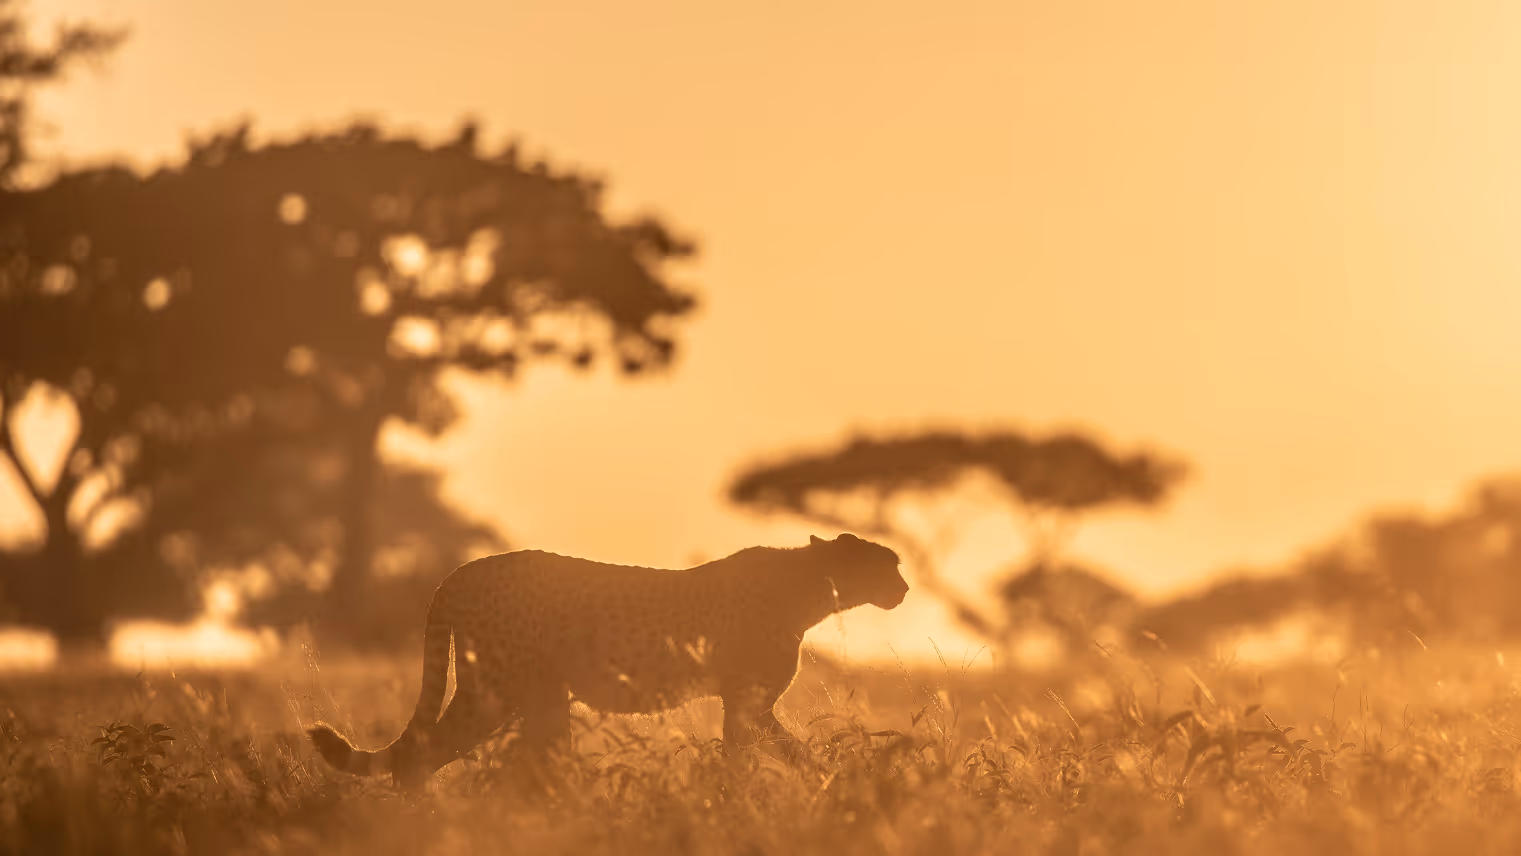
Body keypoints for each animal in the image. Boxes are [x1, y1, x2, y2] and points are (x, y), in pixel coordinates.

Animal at [307, 533, 908, 789]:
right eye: (889, 563)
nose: (904, 587)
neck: (813, 584)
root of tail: (464, 568)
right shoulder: (747, 705)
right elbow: (770, 754)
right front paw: (831, 781)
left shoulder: (743, 706)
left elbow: (772, 752)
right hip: (502, 693)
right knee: (427, 755)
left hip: (521, 696)